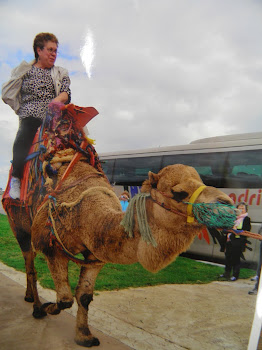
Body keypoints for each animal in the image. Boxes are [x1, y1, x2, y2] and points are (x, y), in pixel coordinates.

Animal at [2, 102, 235, 346]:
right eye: (179, 192)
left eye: (201, 181)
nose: (228, 206)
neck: (88, 212)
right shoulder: (49, 243)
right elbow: (65, 299)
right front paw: (48, 308)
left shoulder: (95, 255)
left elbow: (84, 296)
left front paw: (84, 336)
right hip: (18, 224)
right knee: (29, 262)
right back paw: (37, 307)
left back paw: (30, 297)